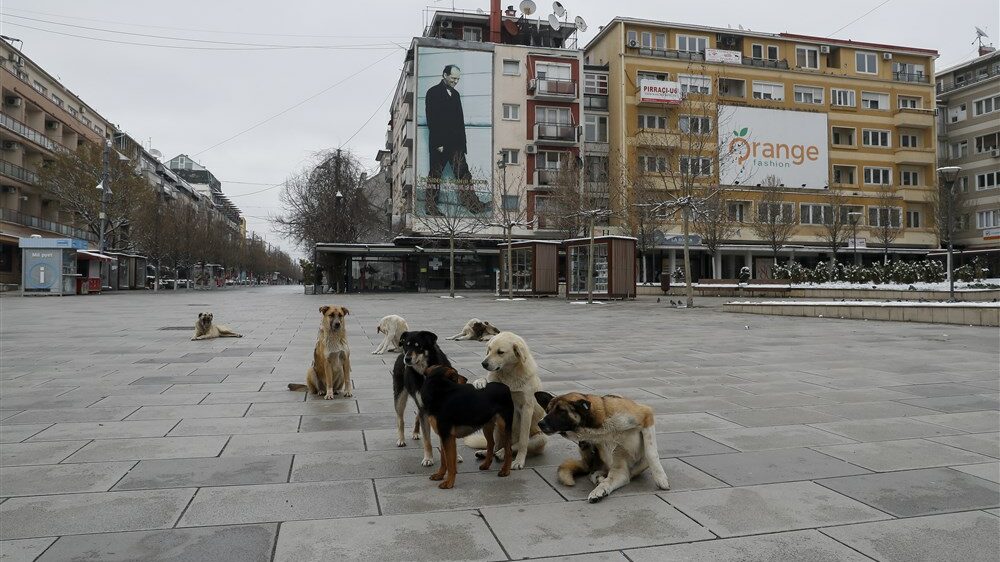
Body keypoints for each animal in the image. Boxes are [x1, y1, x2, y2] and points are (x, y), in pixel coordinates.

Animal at [390, 328, 458, 464]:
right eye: (406, 345)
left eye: (418, 346)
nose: (407, 359)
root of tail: (400, 356)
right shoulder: (423, 407)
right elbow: (427, 439)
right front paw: (428, 458)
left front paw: (457, 456)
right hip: (400, 397)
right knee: (400, 419)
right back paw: (401, 439)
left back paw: (416, 432)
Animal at [466, 330, 548, 466]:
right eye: (489, 350)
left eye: (500, 352)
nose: (483, 364)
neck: (509, 375)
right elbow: (486, 380)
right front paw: (479, 382)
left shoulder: (526, 409)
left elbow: (523, 441)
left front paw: (519, 461)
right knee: (495, 444)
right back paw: (487, 452)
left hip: (541, 437)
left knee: (512, 446)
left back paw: (502, 453)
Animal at [536, 390, 668, 504]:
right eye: (547, 411)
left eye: (561, 411)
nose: (540, 423)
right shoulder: (619, 471)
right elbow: (608, 481)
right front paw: (599, 490)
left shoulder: (646, 416)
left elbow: (651, 453)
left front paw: (660, 478)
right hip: (588, 449)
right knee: (593, 473)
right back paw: (599, 478)